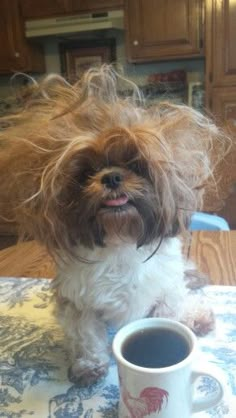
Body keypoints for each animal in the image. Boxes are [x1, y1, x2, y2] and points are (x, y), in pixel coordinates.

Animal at [0, 66, 228, 386]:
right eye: (86, 172)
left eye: (134, 164)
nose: (111, 176)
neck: (121, 239)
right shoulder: (78, 304)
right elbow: (86, 337)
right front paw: (89, 366)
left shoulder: (164, 291)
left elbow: (169, 312)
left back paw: (195, 316)